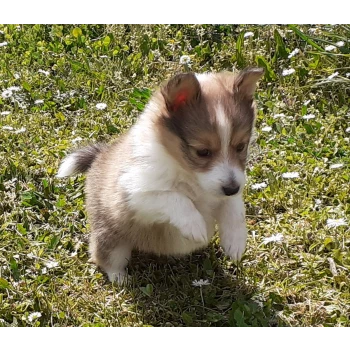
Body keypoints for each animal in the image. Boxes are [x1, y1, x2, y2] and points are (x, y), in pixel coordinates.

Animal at [57, 67, 264, 284]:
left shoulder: (230, 185)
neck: (188, 174)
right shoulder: (134, 194)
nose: (231, 188)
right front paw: (195, 226)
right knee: (104, 257)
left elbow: (235, 208)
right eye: (202, 152)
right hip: (112, 238)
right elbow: (174, 198)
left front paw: (236, 241)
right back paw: (121, 279)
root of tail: (99, 155)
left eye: (241, 146)